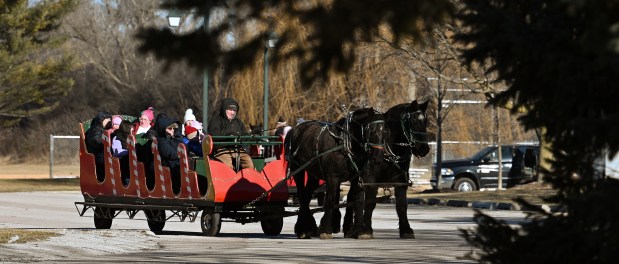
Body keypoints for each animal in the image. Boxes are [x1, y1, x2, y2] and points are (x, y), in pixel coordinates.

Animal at [286, 107, 388, 239]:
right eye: (371, 130)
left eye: (385, 132)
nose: (378, 158)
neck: (344, 143)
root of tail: (295, 129)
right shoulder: (332, 177)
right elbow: (330, 200)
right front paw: (326, 229)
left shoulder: (357, 179)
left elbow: (357, 201)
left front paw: (360, 231)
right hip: (297, 169)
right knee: (302, 195)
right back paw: (306, 228)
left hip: (313, 174)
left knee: (307, 195)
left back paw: (305, 228)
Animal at [344, 99, 432, 239]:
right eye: (413, 121)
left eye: (426, 121)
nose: (424, 149)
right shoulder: (370, 181)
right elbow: (370, 204)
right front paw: (365, 230)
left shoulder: (401, 182)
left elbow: (402, 205)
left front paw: (406, 229)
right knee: (355, 199)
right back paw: (352, 228)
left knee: (353, 198)